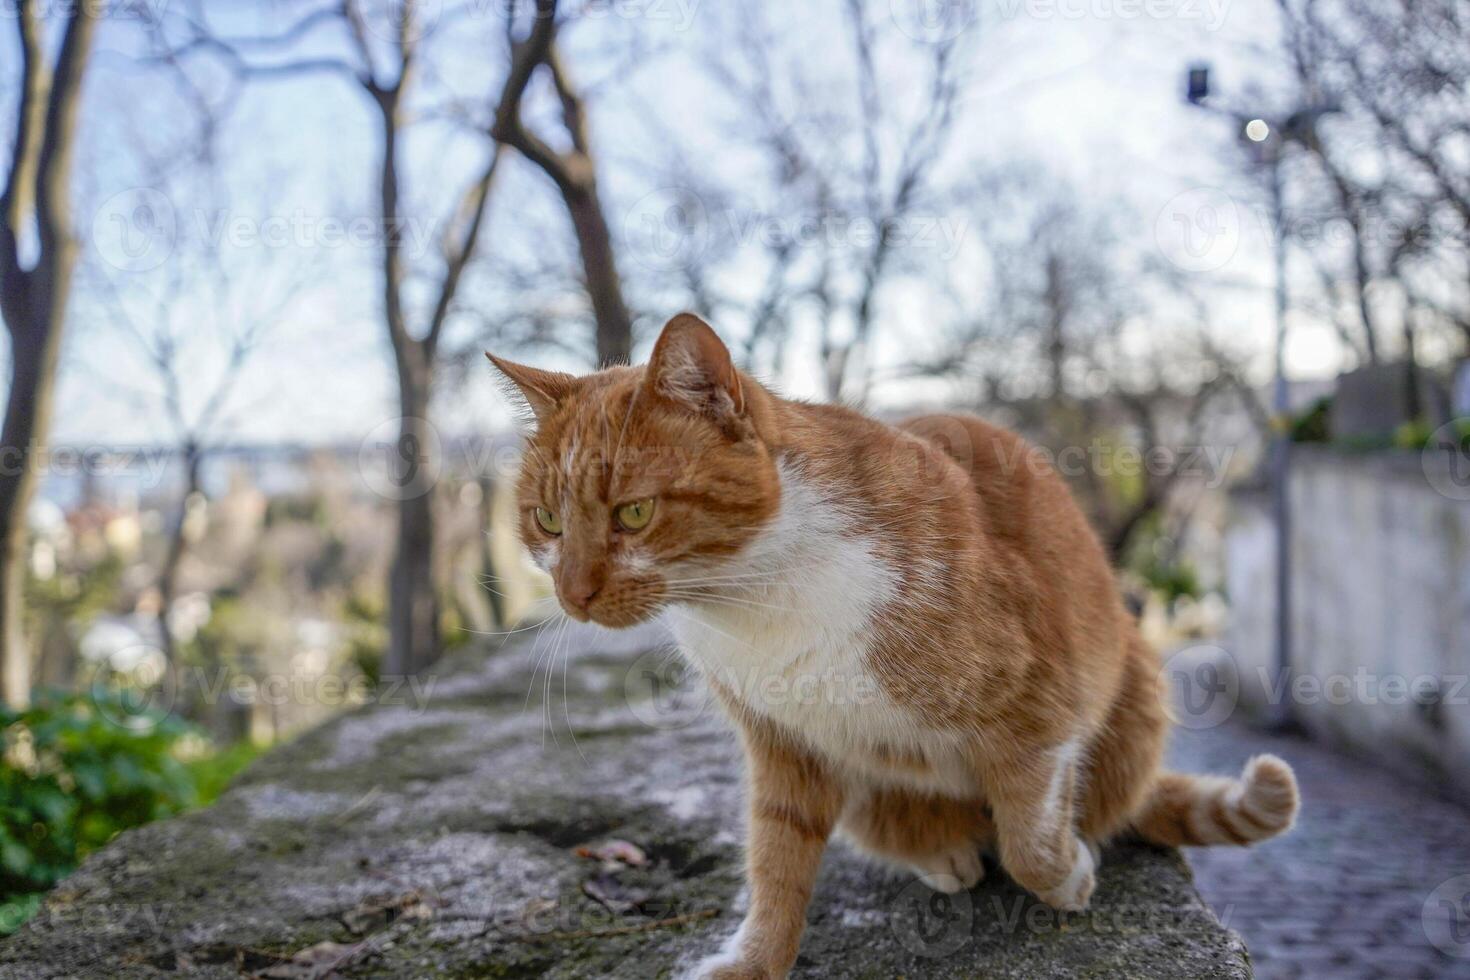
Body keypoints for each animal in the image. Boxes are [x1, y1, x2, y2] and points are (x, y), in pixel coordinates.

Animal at [490, 315, 1299, 980]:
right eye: (546, 520)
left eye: (634, 514)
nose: (572, 594)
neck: (754, 600)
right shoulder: (782, 745)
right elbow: (775, 865)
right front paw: (754, 962)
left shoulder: (1037, 710)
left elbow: (1031, 840)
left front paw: (1068, 877)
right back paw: (943, 853)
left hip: (1130, 698)